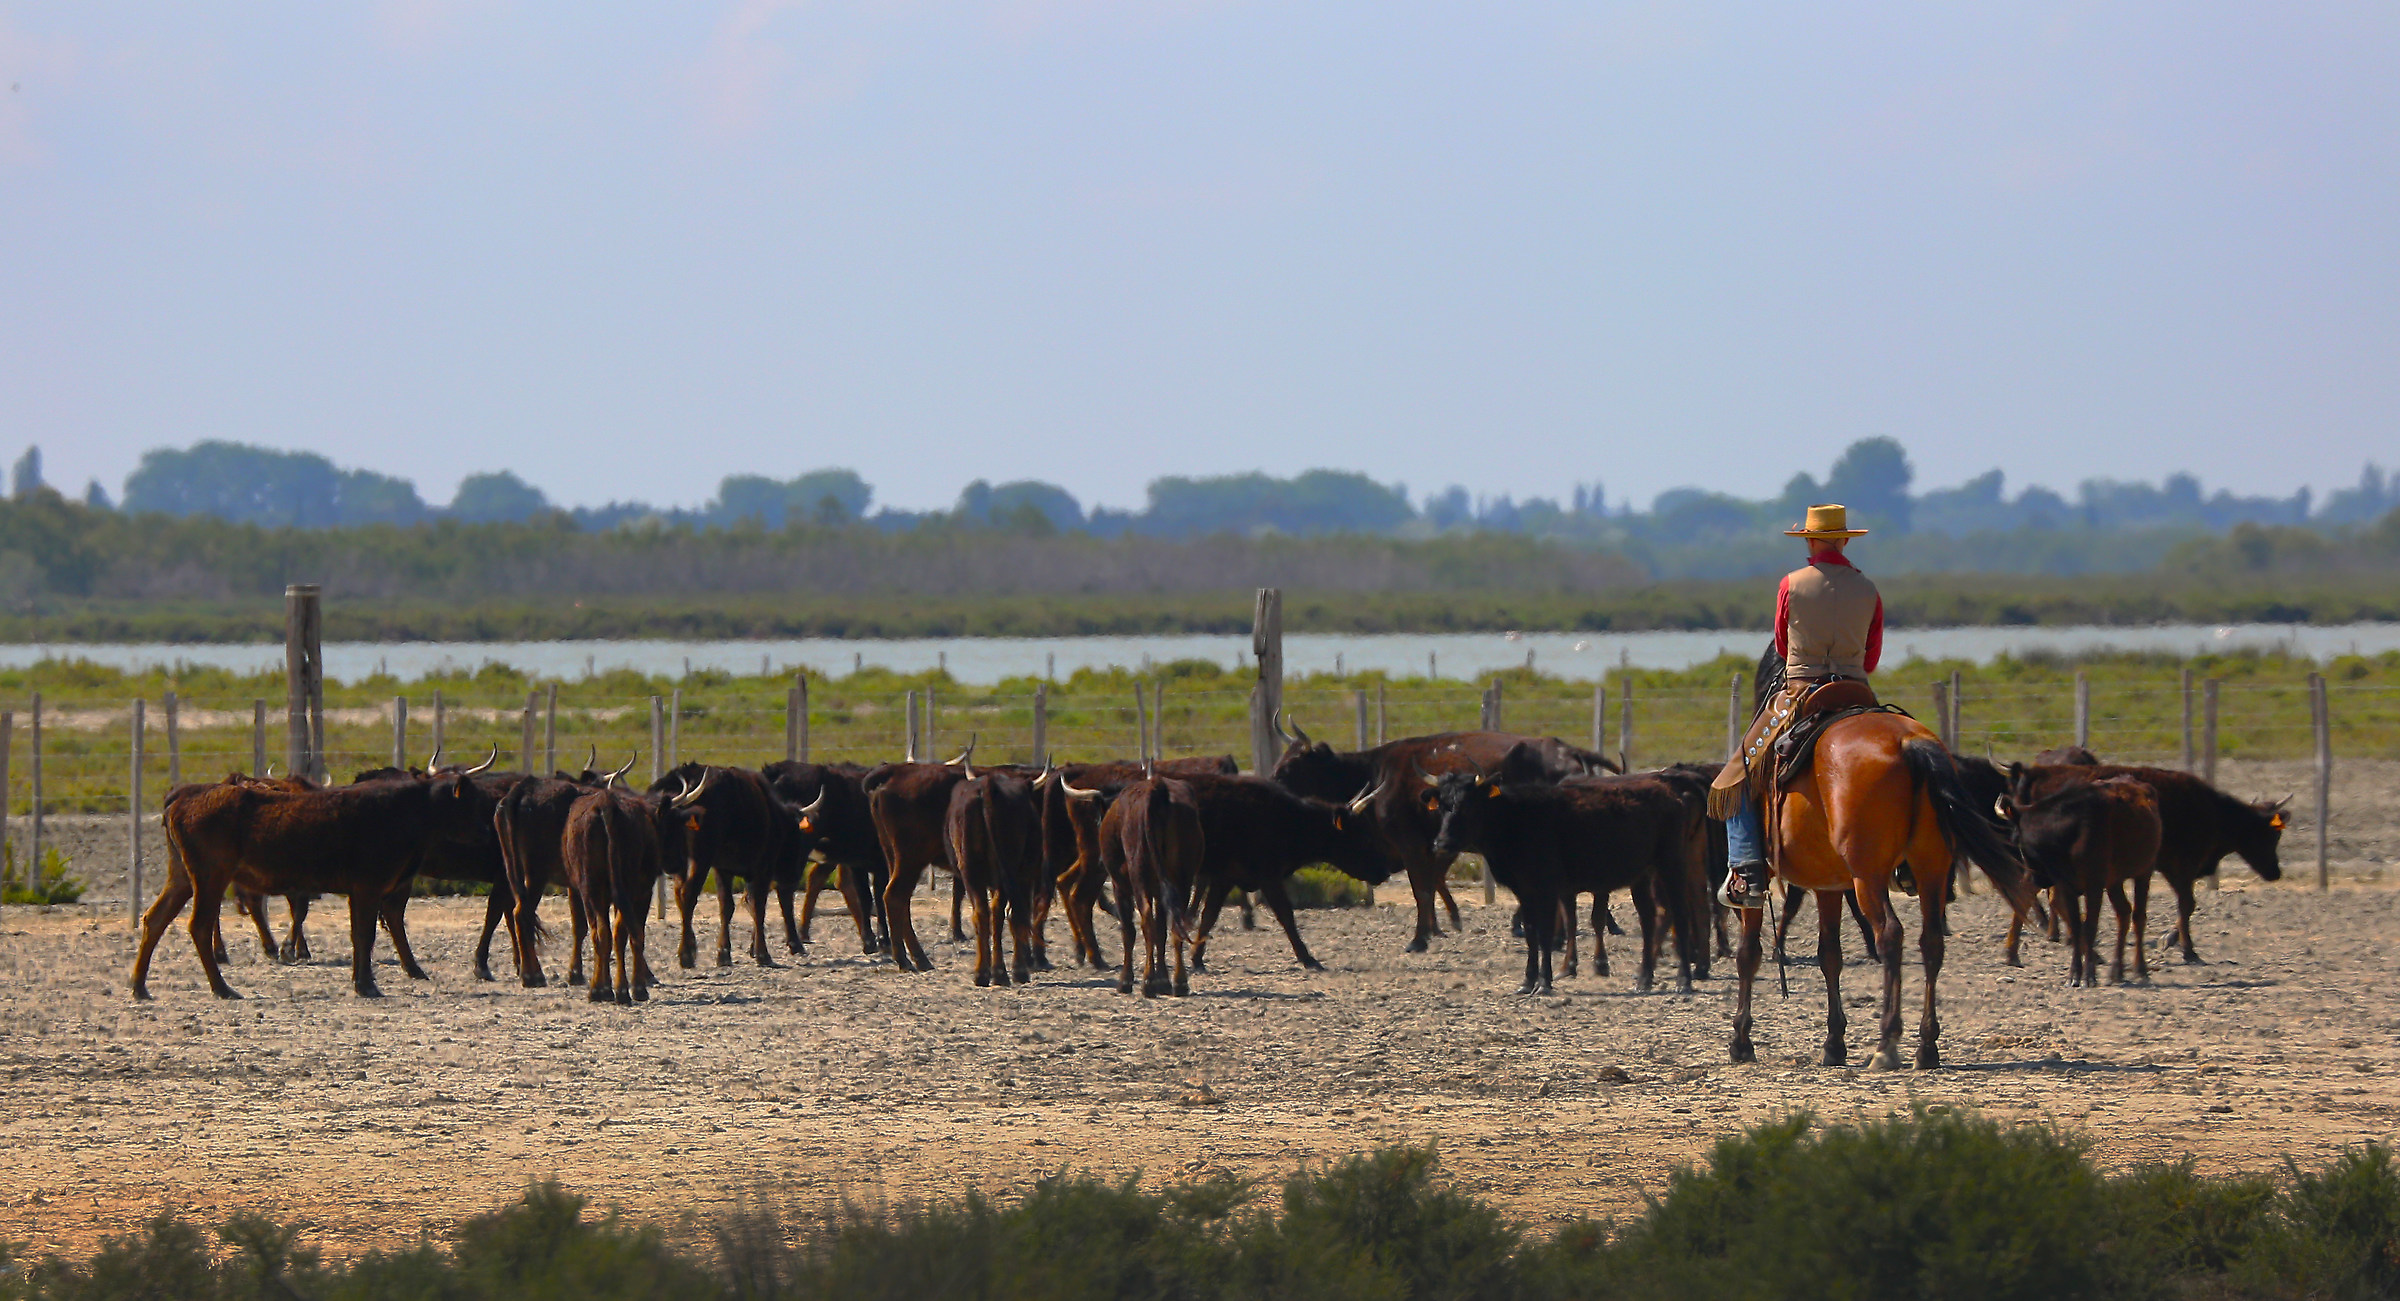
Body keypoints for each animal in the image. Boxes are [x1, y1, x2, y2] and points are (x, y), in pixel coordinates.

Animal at [135, 767, 501, 999]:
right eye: (468, 802)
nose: (487, 831)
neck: (405, 810)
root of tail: (185, 795)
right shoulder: (367, 888)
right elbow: (364, 936)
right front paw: (366, 985)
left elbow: (362, 935)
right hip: (210, 876)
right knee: (198, 925)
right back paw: (223, 988)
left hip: (182, 877)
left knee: (155, 919)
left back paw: (140, 986)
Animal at [1269, 719, 1613, 952]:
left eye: (1287, 769)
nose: (1268, 784)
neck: (1379, 773)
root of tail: (1565, 749)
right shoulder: (1434, 843)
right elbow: (1434, 880)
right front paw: (1441, 925)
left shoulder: (1410, 843)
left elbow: (1422, 888)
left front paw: (1420, 938)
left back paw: (1555, 937)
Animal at [1427, 753, 1700, 995]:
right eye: (1441, 805)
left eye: (1468, 804)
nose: (1442, 843)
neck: (1517, 819)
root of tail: (1671, 793)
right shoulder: (1524, 890)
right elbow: (1531, 933)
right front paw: (1527, 982)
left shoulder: (1547, 888)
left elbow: (1546, 933)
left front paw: (1544, 983)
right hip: (1642, 874)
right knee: (1648, 918)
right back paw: (1644, 979)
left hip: (1671, 863)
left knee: (1680, 913)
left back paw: (1684, 980)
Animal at [2001, 770, 2164, 986]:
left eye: (2018, 840)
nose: (2033, 878)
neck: (2070, 832)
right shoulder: (2067, 885)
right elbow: (2077, 926)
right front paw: (2074, 974)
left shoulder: (2094, 884)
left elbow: (2089, 927)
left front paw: (2088, 976)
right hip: (2114, 881)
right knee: (2124, 913)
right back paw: (2116, 970)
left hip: (2144, 871)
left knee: (2138, 917)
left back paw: (2140, 969)